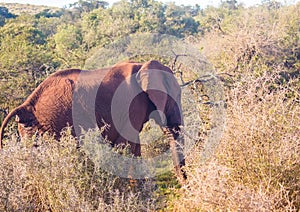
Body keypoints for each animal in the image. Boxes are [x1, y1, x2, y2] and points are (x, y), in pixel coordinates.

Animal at [0, 60, 186, 183]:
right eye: (176, 96)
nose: (184, 185)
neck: (144, 66)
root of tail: (25, 106)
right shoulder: (131, 105)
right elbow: (126, 145)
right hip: (52, 122)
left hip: (32, 128)